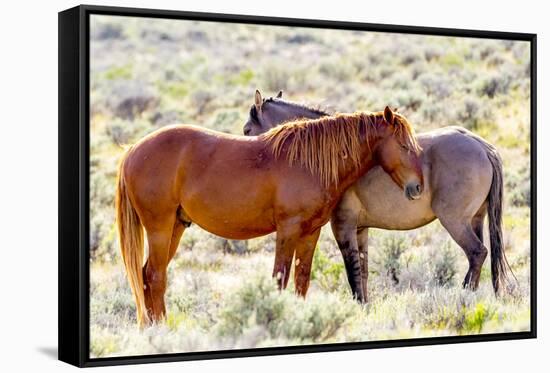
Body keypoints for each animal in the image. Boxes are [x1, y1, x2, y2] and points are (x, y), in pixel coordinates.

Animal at [117, 105, 426, 326]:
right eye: (404, 146)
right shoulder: (287, 230)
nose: (417, 188)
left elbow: (302, 279)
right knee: (155, 276)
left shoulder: (311, 232)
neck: (308, 162)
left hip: (176, 228)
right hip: (159, 227)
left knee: (147, 276)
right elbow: (280, 278)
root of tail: (133, 150)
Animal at [244, 89, 516, 302]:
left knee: (477, 253)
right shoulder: (360, 229)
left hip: (455, 221)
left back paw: (463, 295)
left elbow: (352, 272)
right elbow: (362, 272)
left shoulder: (342, 226)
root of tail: (481, 145)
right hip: (475, 219)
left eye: (247, 130)